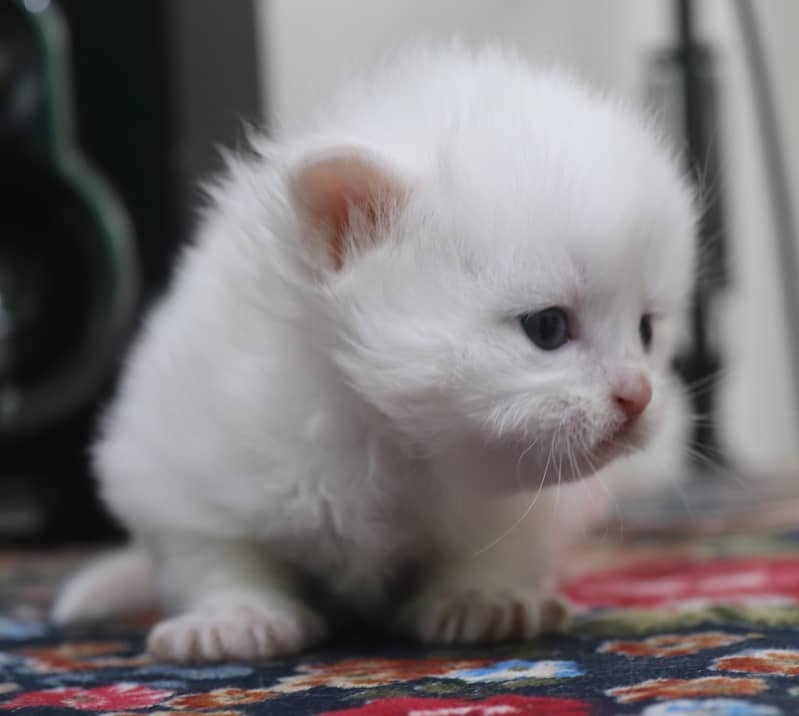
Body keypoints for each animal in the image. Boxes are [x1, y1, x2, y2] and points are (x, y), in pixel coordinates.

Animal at [53, 44, 696, 664]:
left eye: (646, 330)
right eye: (547, 328)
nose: (639, 396)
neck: (383, 434)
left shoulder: (520, 508)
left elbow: (494, 550)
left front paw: (481, 598)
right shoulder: (182, 466)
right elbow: (217, 555)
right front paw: (233, 618)